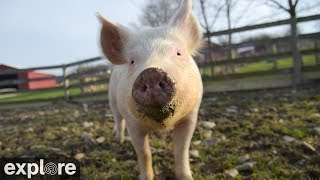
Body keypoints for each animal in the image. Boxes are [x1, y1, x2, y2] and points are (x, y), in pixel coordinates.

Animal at [97, 0, 202, 179]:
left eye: (178, 53)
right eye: (132, 61)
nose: (151, 73)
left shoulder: (190, 116)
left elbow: (181, 149)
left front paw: (186, 177)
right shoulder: (133, 123)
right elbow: (144, 153)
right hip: (112, 100)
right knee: (118, 120)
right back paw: (119, 140)